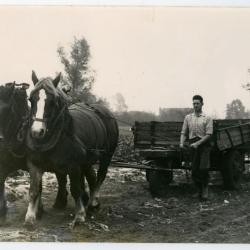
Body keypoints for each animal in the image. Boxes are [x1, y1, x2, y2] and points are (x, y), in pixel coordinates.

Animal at [24, 71, 118, 227]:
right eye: (31, 99)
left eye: (53, 101)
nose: (37, 132)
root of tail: (106, 112)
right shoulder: (35, 164)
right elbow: (34, 190)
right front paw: (30, 217)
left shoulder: (74, 166)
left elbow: (75, 189)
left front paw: (79, 215)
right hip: (87, 160)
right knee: (91, 176)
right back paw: (91, 201)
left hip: (106, 156)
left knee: (100, 175)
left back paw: (93, 201)